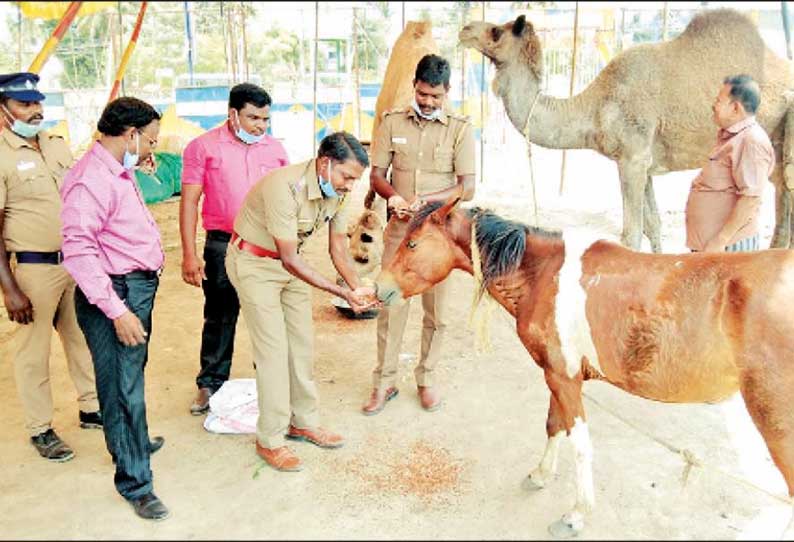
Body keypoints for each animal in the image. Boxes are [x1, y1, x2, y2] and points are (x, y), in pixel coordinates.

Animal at [374, 196, 792, 540]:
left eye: (412, 244)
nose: (379, 290)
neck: (542, 273)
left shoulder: (563, 377)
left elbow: (580, 444)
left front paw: (576, 515)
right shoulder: (560, 374)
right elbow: (554, 425)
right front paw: (540, 475)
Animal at [454, 10, 792, 253]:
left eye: (496, 31)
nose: (465, 29)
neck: (595, 107)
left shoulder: (632, 158)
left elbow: (630, 234)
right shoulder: (644, 164)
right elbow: (653, 226)